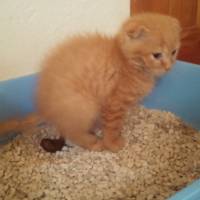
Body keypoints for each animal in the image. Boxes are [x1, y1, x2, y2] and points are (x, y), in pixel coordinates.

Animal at [36, 13, 181, 152]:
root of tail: (46, 109)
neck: (128, 63)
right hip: (85, 105)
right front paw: (112, 144)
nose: (168, 67)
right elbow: (112, 126)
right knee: (72, 131)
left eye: (174, 52)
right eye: (156, 55)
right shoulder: (115, 103)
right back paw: (94, 143)